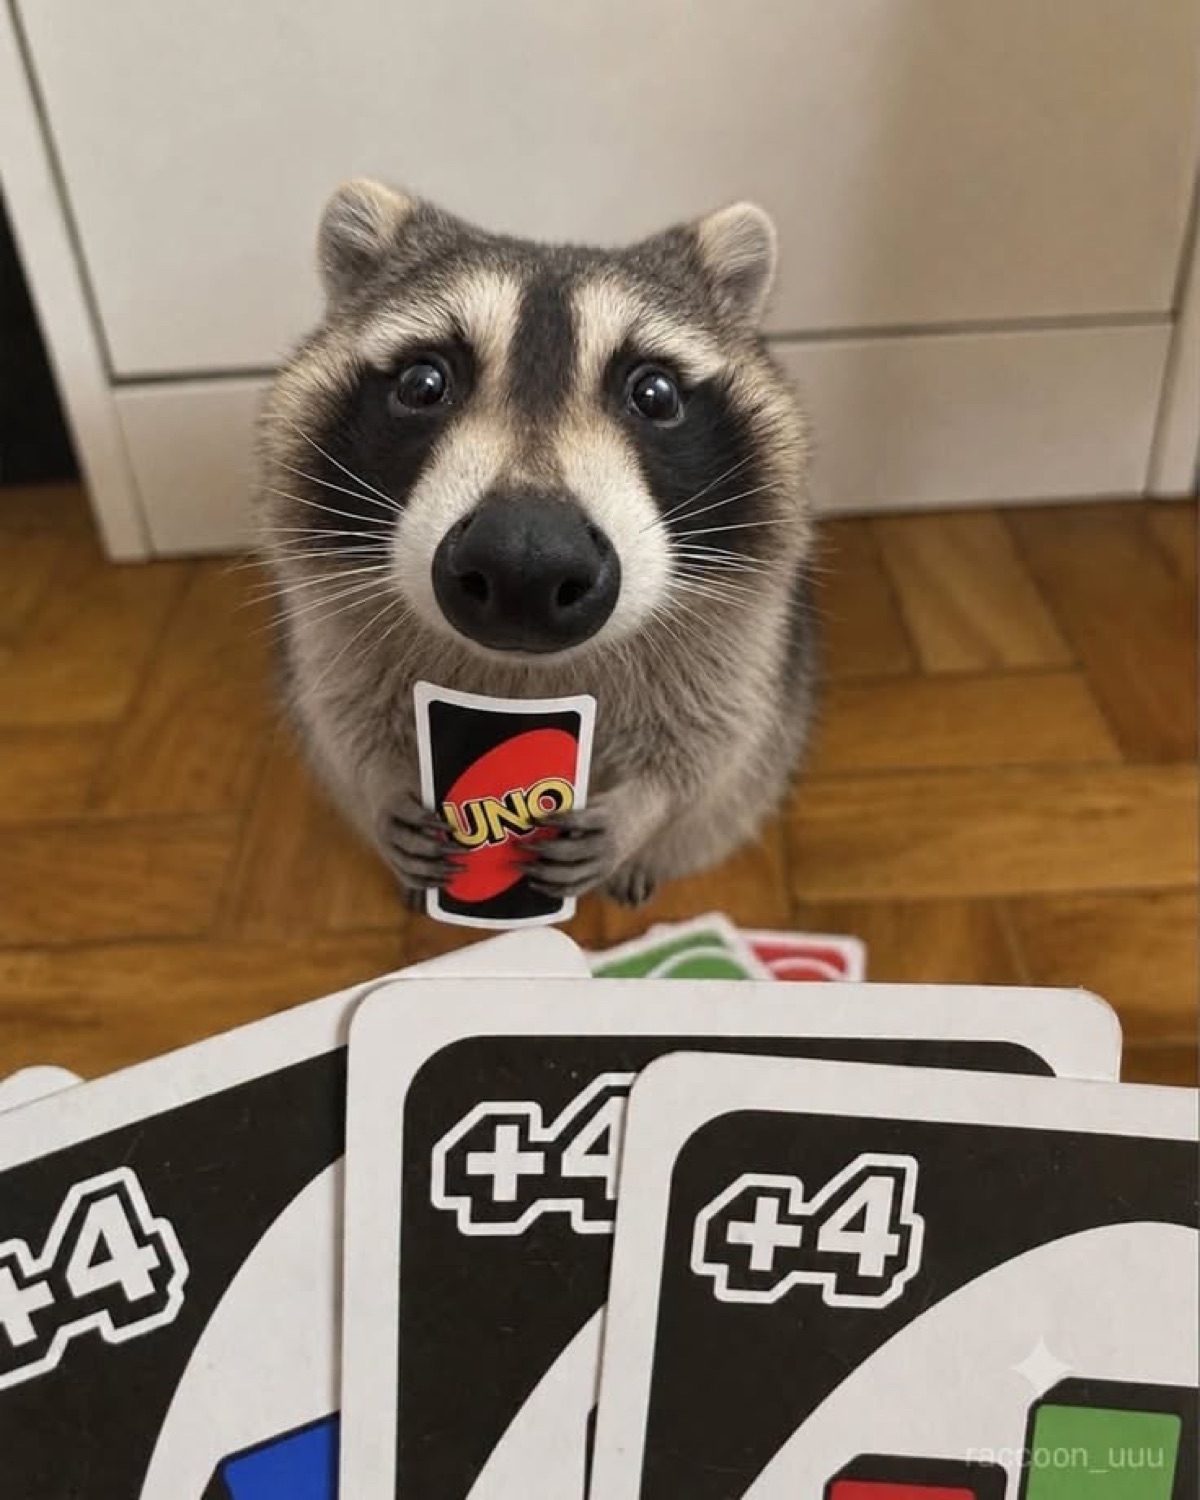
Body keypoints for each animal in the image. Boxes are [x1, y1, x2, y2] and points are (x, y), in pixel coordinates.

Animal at [255, 180, 816, 908]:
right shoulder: (326, 621)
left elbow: (714, 737)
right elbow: (341, 715)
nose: (524, 564)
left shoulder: (742, 633)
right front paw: (383, 791)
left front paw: (642, 808)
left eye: (655, 393)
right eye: (422, 384)